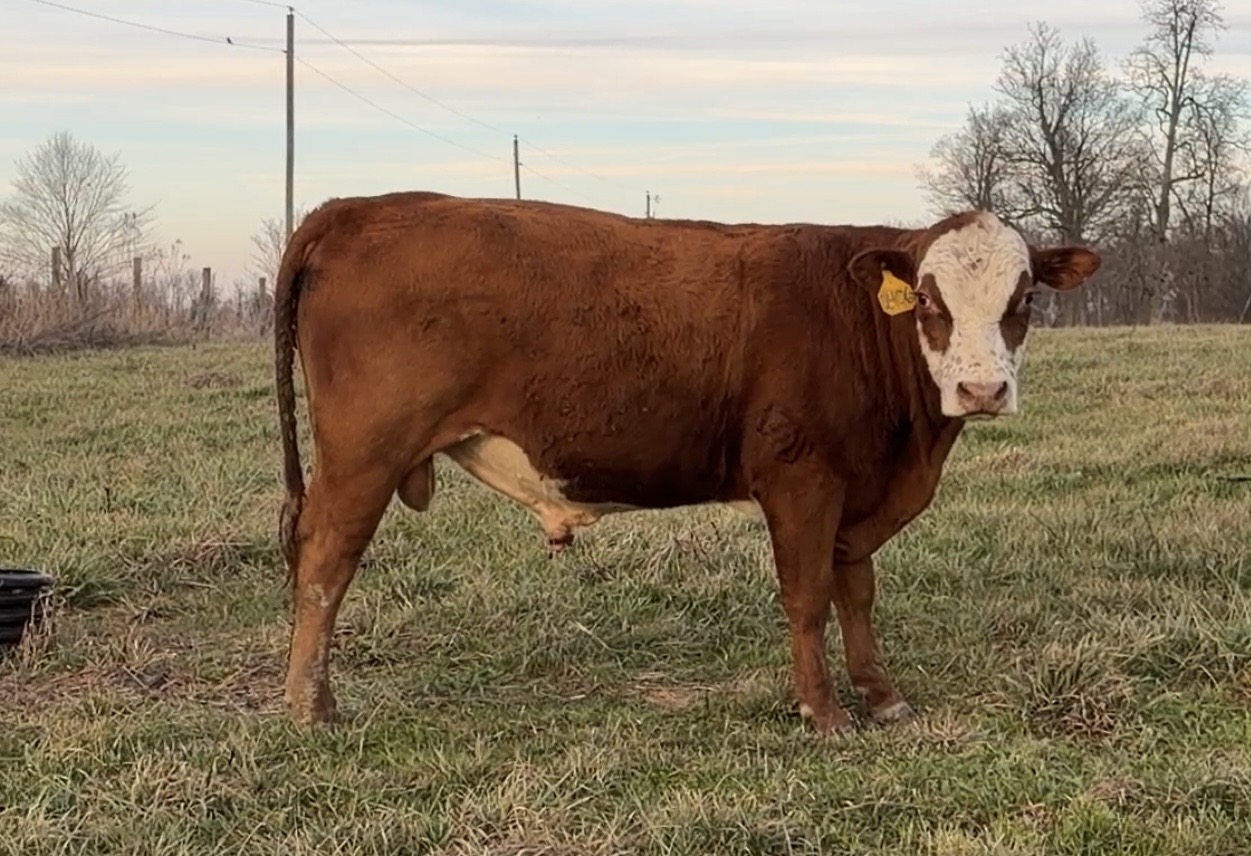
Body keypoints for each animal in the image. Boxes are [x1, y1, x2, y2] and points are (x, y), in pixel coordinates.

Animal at [273, 191, 1099, 733]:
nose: (981, 389)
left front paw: (881, 694)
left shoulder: (856, 489)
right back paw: (310, 706)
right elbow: (808, 597)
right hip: (363, 457)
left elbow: (856, 594)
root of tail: (356, 206)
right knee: (324, 564)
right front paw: (824, 711)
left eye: (1023, 298)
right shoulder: (801, 479)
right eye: (927, 300)